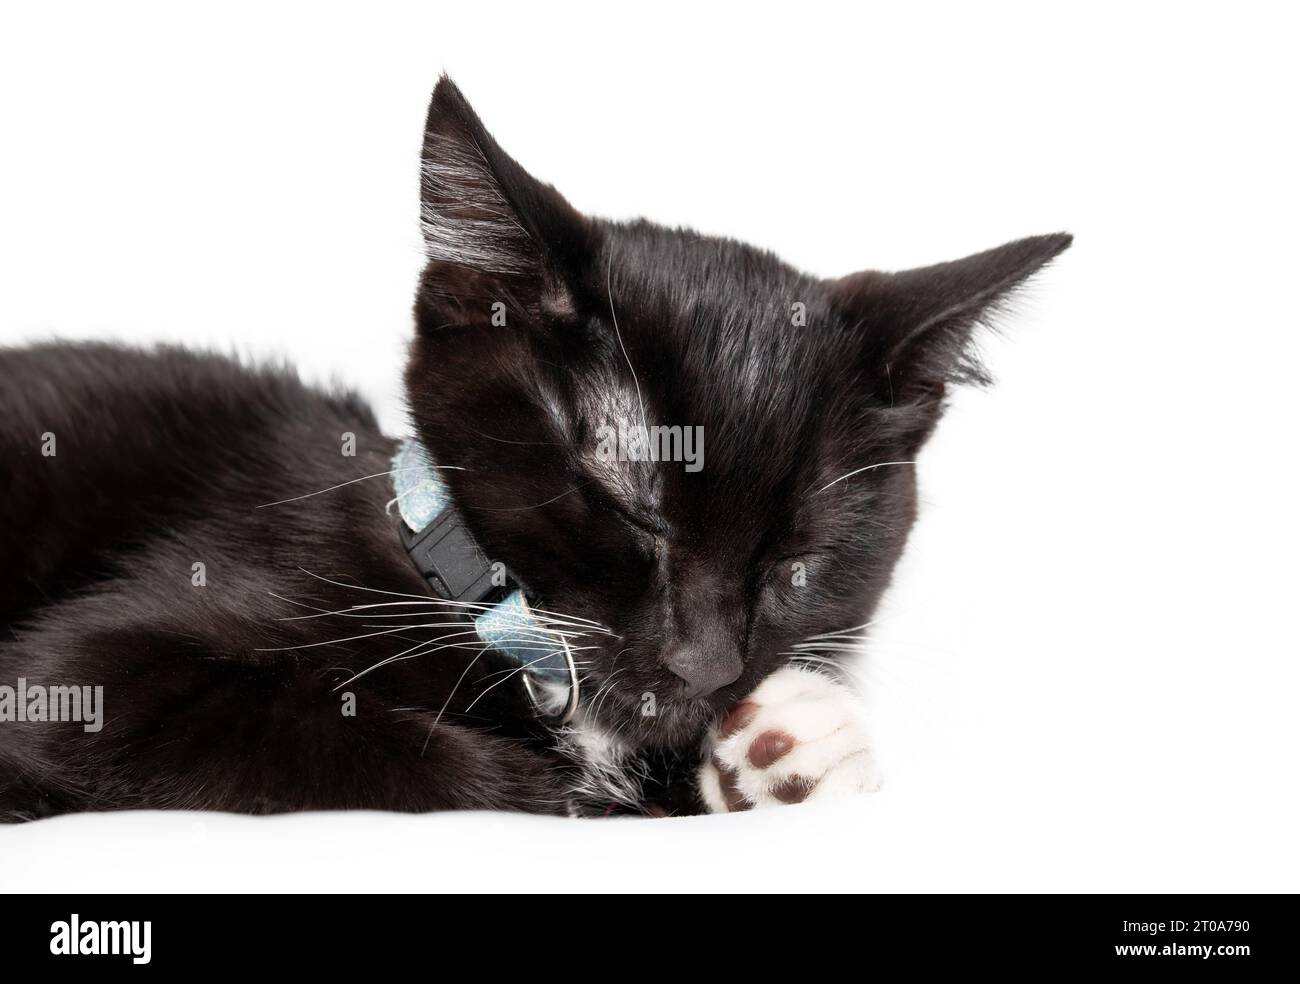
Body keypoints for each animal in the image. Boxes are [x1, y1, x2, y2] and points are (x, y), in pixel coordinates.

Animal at [0, 76, 1066, 816]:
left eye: (799, 558)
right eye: (631, 506)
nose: (706, 665)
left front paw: (779, 752)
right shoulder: (86, 676)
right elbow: (402, 758)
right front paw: (576, 789)